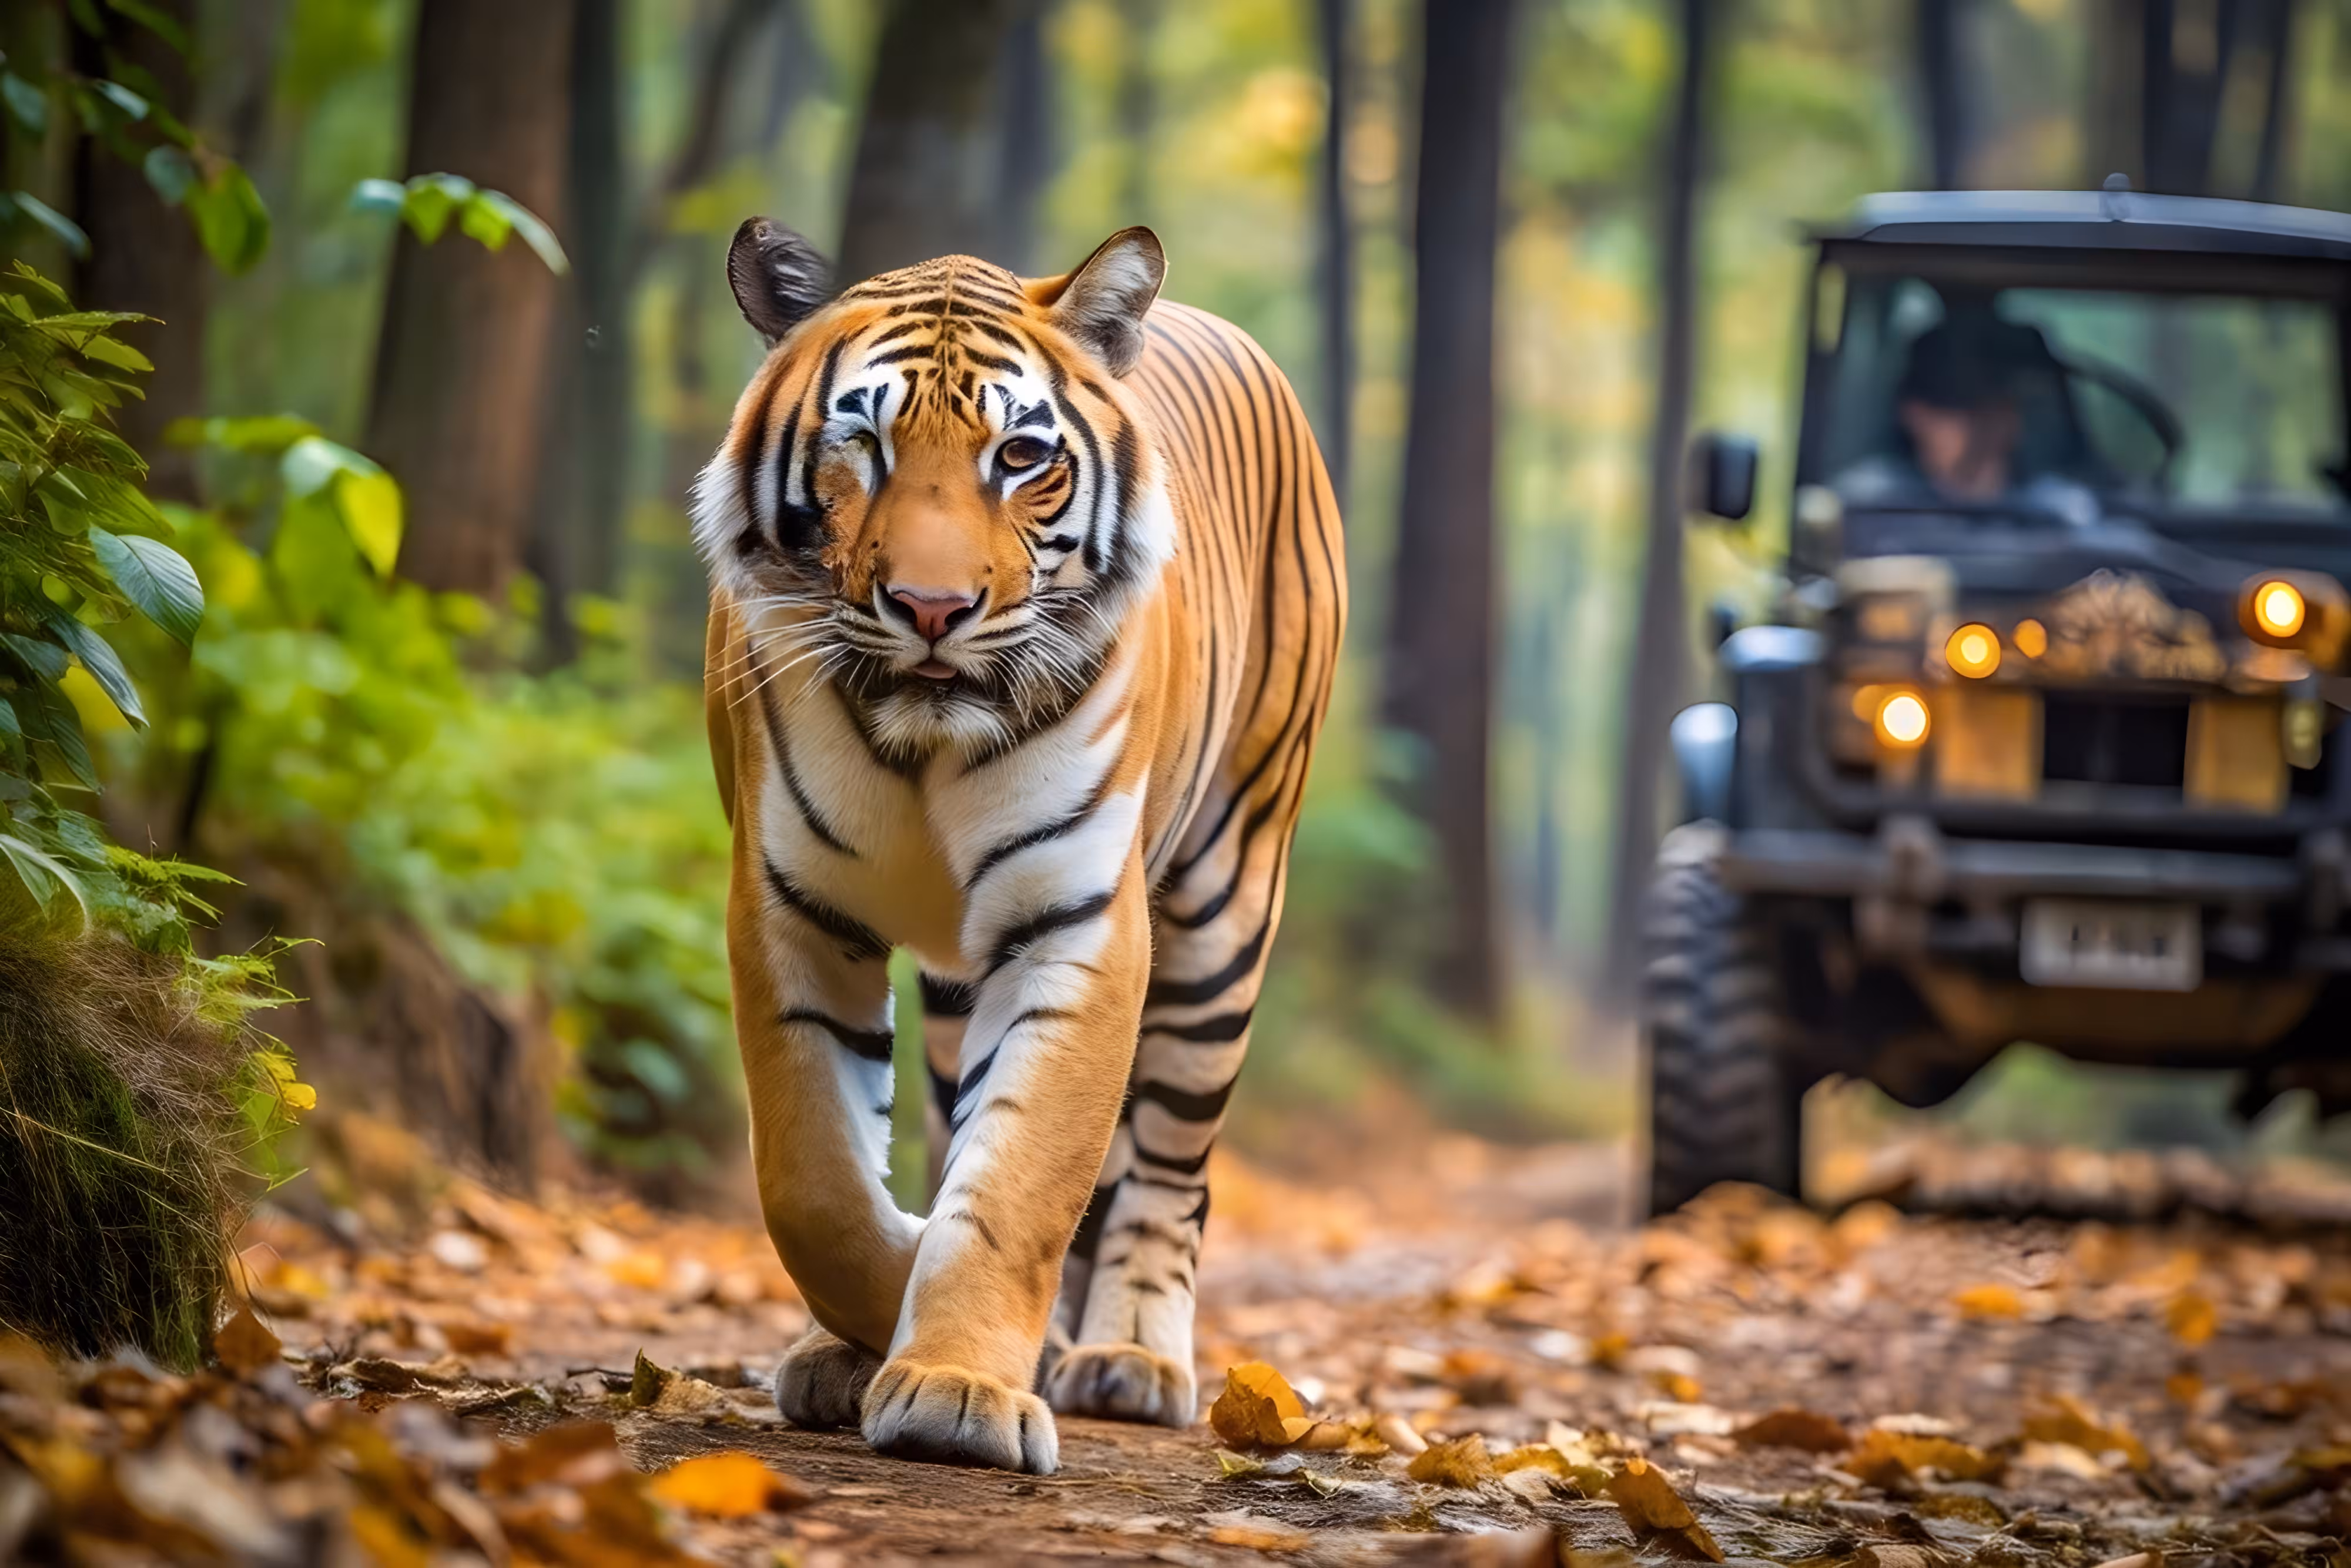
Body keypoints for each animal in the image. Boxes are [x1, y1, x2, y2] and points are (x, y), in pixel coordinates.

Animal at [694, 217, 1344, 1474]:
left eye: (1020, 456)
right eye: (864, 442)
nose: (932, 608)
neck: (921, 743)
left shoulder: (1074, 923)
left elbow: (1019, 1181)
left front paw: (956, 1384)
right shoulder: (789, 908)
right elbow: (815, 1179)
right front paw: (878, 1320)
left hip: (1229, 895)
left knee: (1169, 1167)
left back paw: (1131, 1357)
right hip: (959, 986)